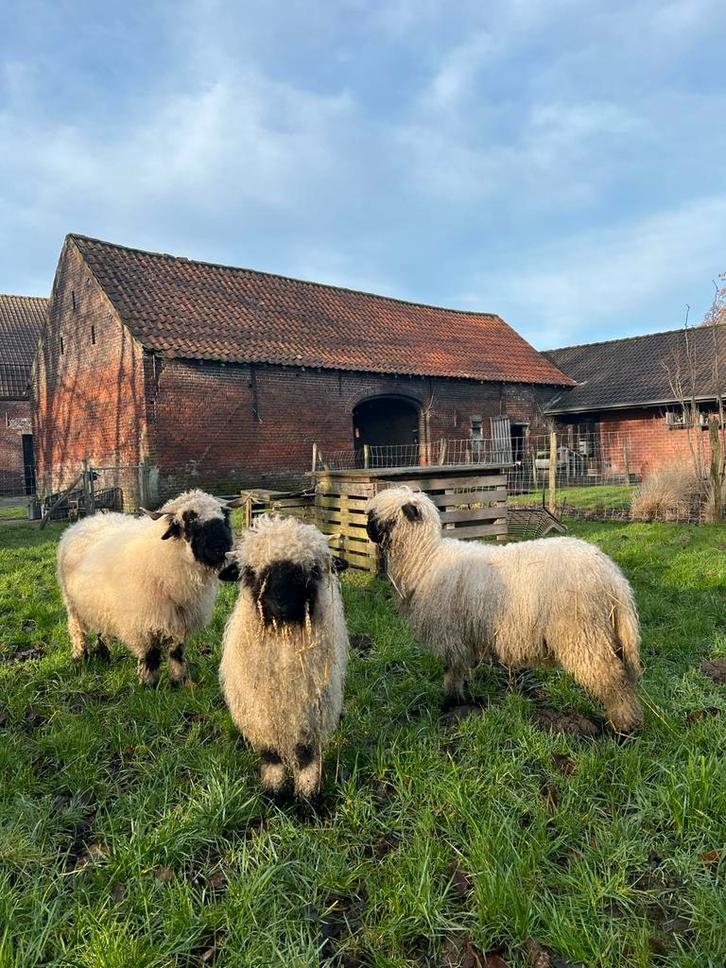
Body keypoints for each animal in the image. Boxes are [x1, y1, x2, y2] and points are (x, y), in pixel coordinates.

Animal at [57, 489, 234, 685]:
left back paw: (103, 656)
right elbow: (151, 654)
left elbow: (176, 651)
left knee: (101, 629)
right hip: (72, 603)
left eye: (224, 517)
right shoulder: (142, 621)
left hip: (97, 602)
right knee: (77, 629)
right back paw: (80, 655)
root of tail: (83, 522)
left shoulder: (181, 618)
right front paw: (149, 683)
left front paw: (179, 680)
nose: (220, 547)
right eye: (190, 520)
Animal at [218, 515, 349, 804]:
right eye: (251, 572)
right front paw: (274, 794)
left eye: (312, 569)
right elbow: (271, 756)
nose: (280, 604)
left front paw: (307, 799)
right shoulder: (259, 711)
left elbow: (305, 756)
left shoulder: (310, 710)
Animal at [367, 487, 643, 733]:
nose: (367, 531)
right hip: (602, 631)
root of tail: (613, 576)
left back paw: (622, 727)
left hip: (582, 632)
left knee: (612, 679)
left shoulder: (450, 633)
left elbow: (451, 671)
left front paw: (450, 705)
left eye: (381, 519)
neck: (426, 559)